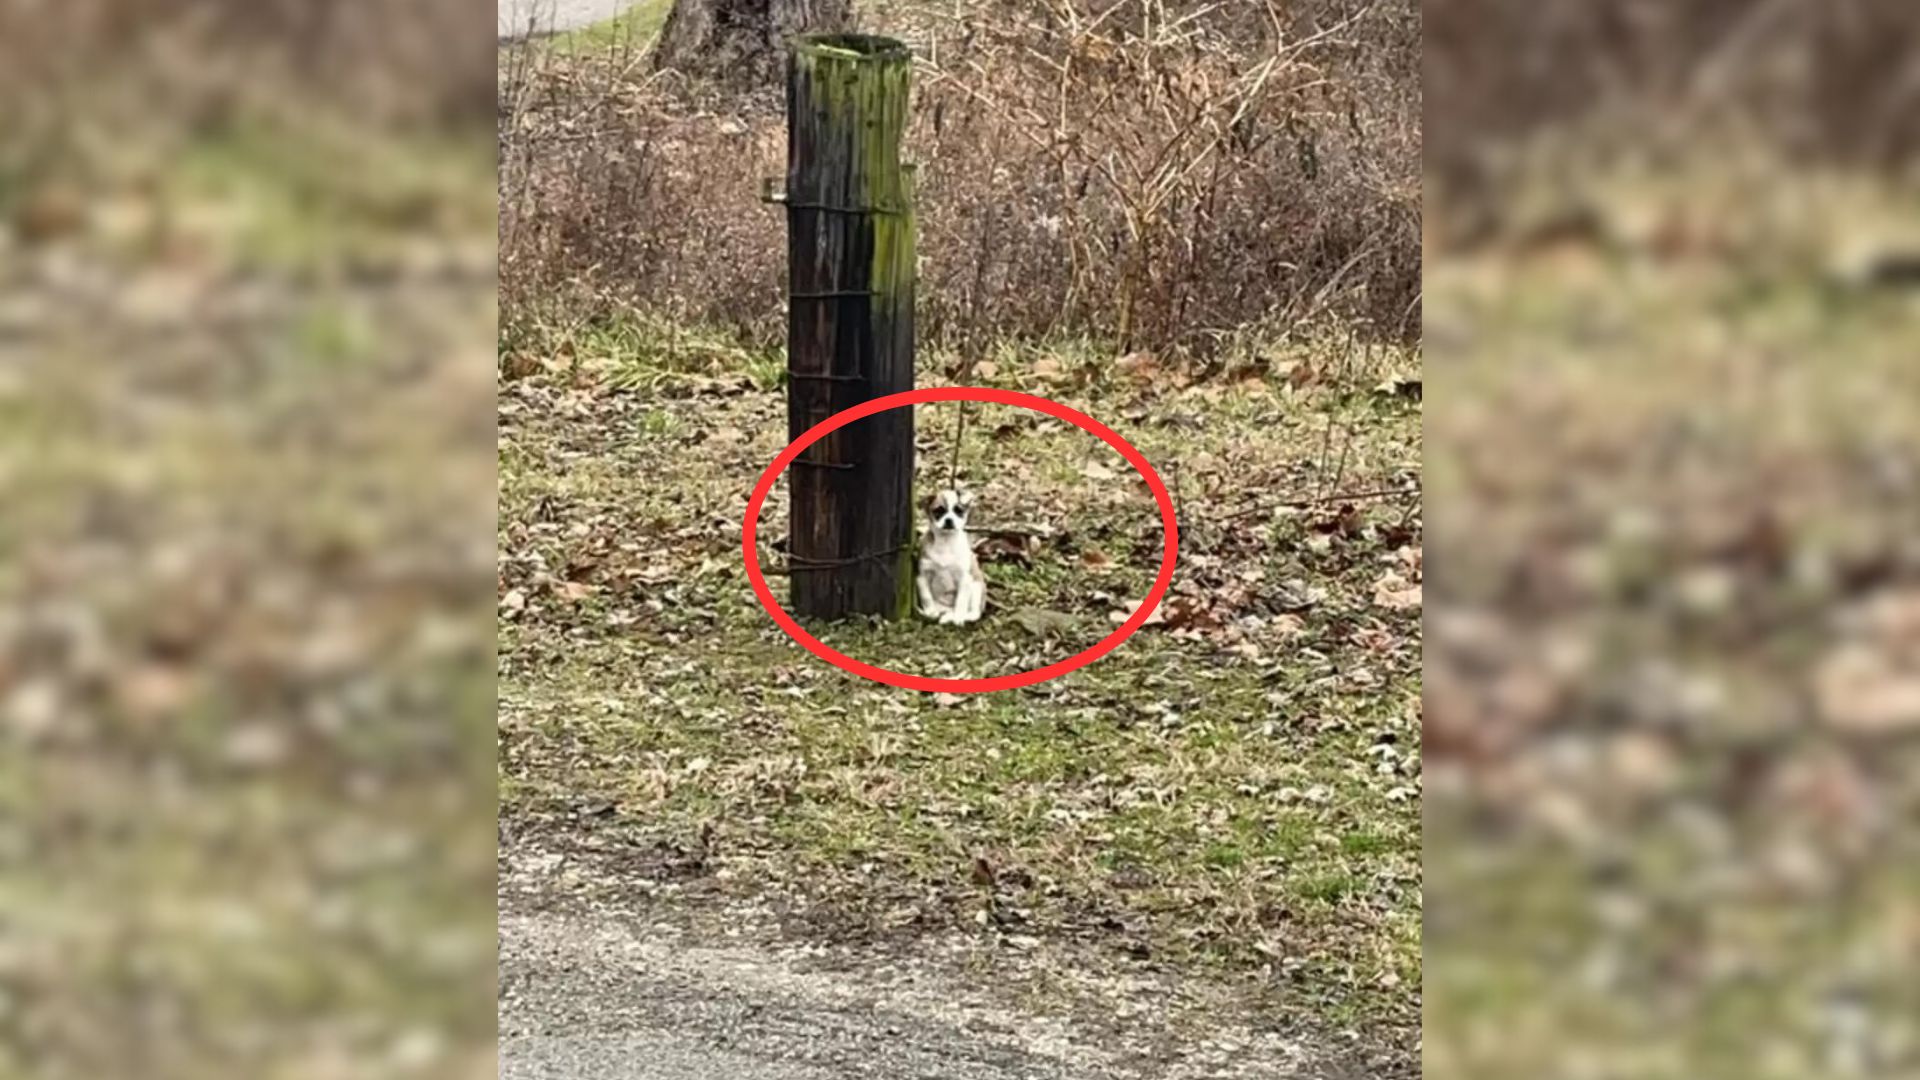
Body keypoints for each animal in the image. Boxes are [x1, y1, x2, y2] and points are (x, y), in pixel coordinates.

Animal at [913, 486, 983, 622]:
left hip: (976, 587)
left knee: (975, 613)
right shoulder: (922, 577)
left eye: (959, 511)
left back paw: (961, 616)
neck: (946, 543)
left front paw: (958, 618)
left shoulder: (964, 579)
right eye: (938, 511)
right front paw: (930, 612)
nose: (949, 520)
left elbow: (961, 600)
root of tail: (948, 609)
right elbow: (926, 597)